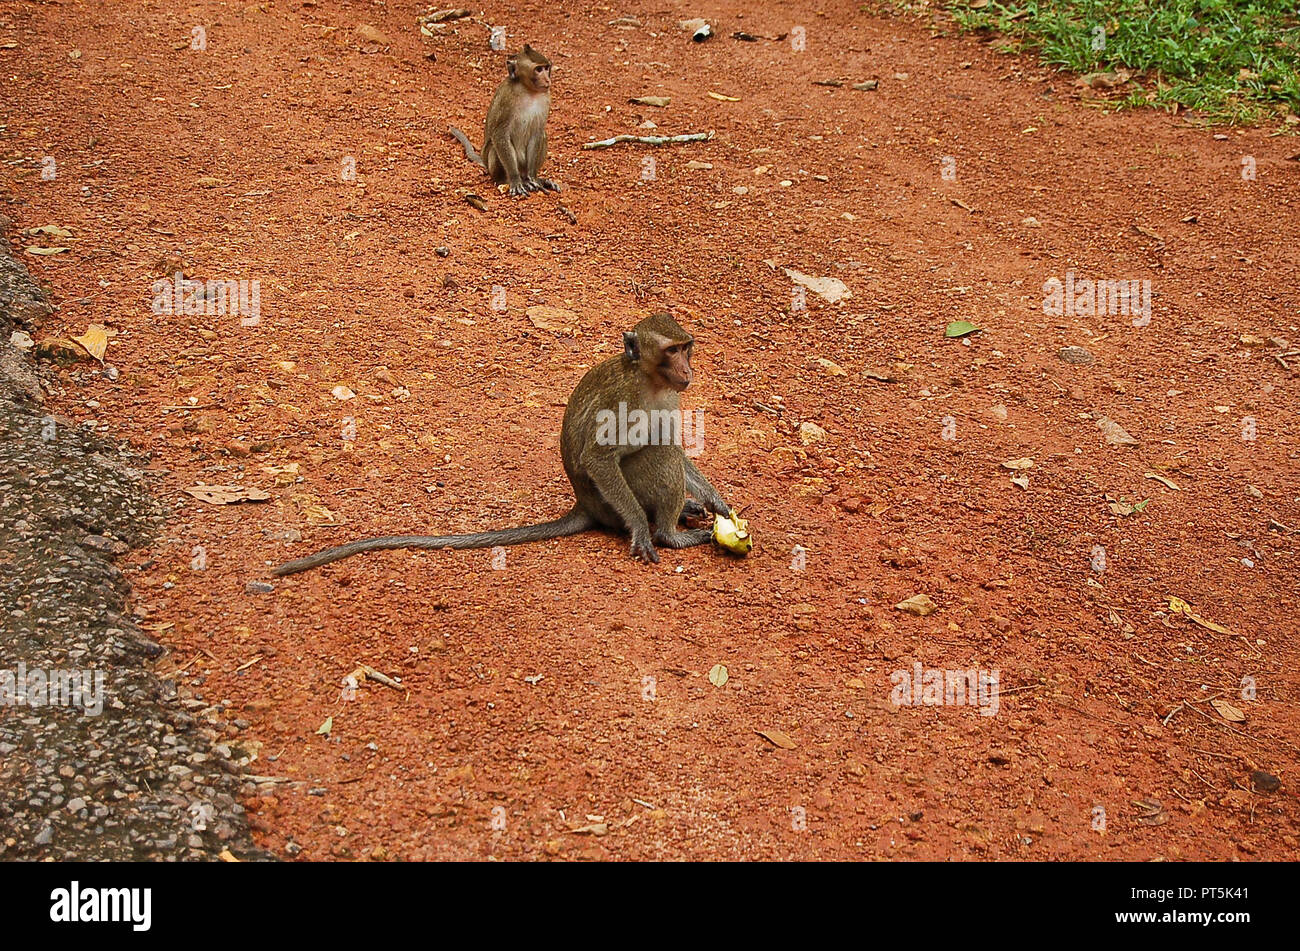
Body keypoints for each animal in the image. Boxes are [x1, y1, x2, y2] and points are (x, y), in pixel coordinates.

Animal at [273, 315, 733, 576]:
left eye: (686, 348)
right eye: (670, 351)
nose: (687, 370)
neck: (650, 381)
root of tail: (584, 505)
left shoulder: (670, 397)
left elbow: (672, 439)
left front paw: (717, 502)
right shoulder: (624, 401)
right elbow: (599, 457)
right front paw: (642, 528)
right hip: (608, 503)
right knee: (656, 456)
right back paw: (669, 534)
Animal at [449, 44, 556, 197]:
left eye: (547, 68)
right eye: (538, 69)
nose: (547, 80)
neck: (528, 90)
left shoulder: (546, 97)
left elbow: (537, 133)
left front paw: (533, 178)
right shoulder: (506, 99)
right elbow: (500, 134)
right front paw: (515, 181)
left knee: (543, 135)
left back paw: (531, 179)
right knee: (495, 147)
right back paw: (508, 180)